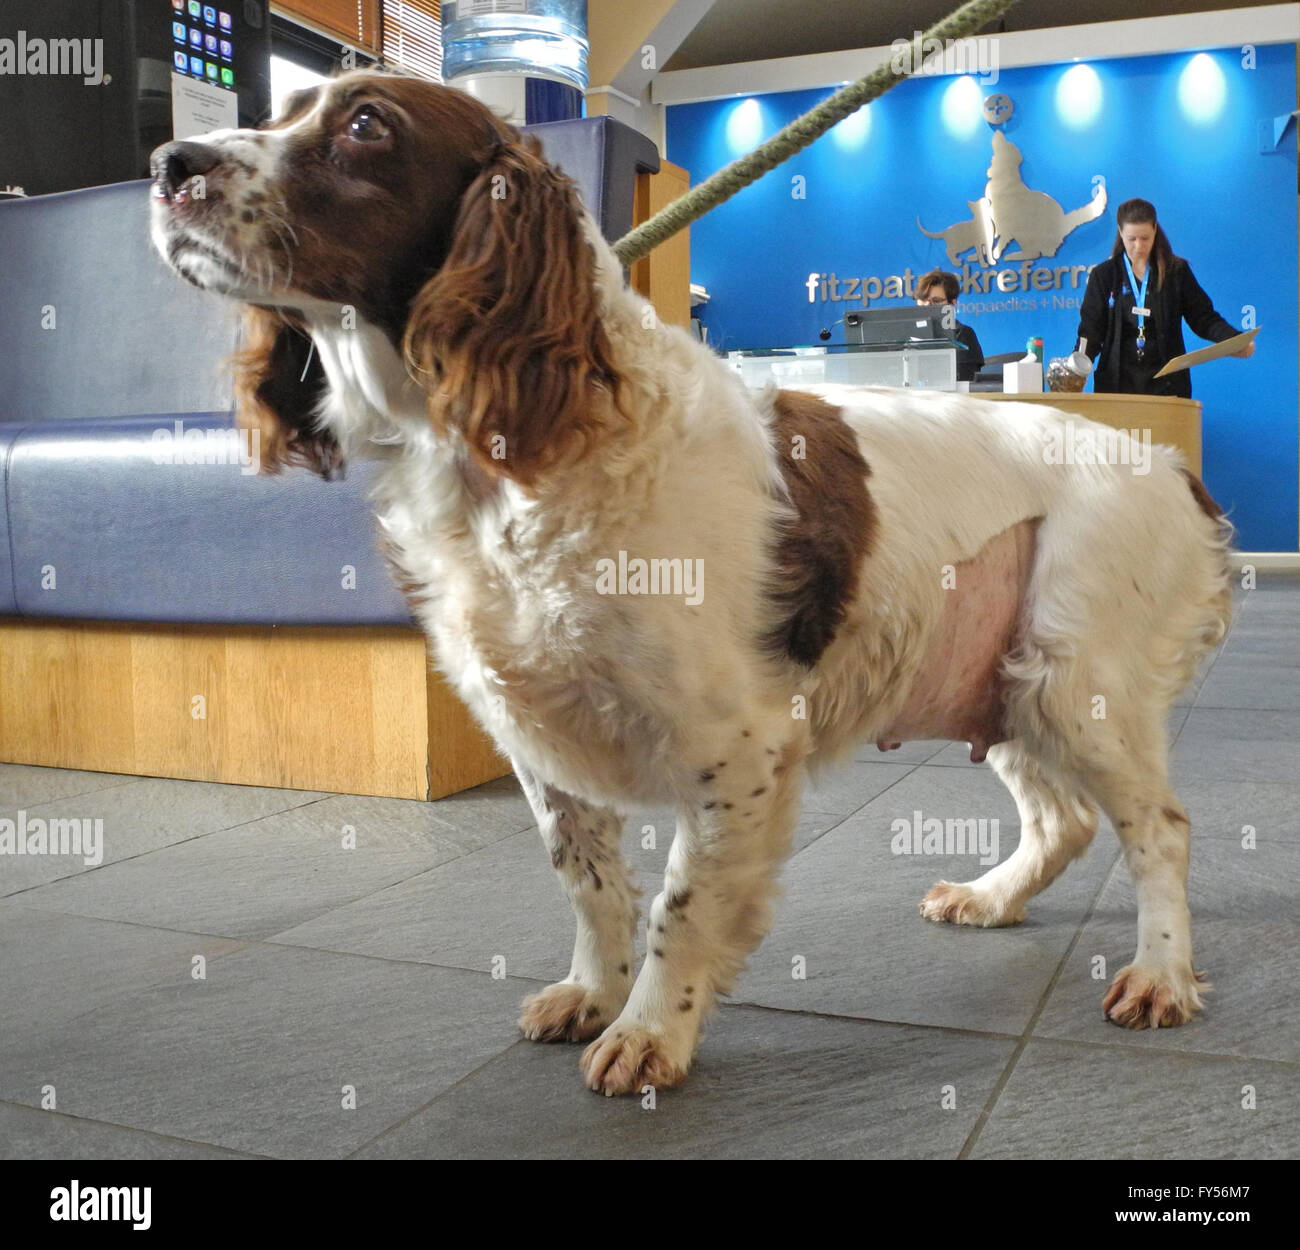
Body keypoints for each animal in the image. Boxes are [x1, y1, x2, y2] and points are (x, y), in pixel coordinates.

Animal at [147, 70, 1232, 1091]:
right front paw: (592, 993)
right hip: (999, 680)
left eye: (367, 126)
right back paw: (990, 898)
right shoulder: (539, 737)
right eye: (278, 112)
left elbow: (679, 902)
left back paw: (1160, 975)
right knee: (1064, 817)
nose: (168, 163)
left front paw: (648, 1033)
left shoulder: (736, 743)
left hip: (1075, 678)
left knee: (1163, 830)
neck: (537, 444)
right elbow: (588, 881)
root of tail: (1165, 466)